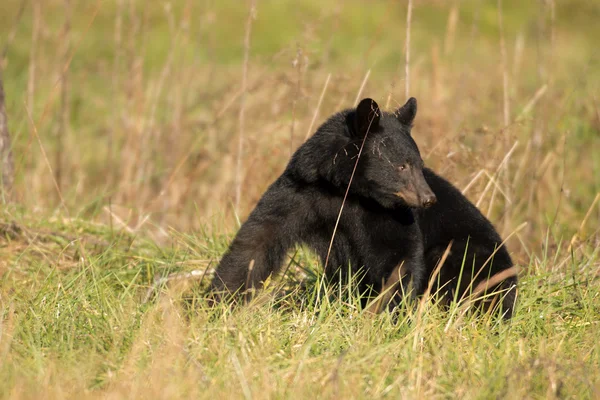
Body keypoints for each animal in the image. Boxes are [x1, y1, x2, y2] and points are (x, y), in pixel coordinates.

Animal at [211, 98, 436, 308]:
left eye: (420, 165)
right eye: (402, 166)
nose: (428, 198)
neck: (345, 191)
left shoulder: (388, 212)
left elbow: (398, 254)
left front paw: (390, 306)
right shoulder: (300, 194)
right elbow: (258, 241)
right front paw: (220, 299)